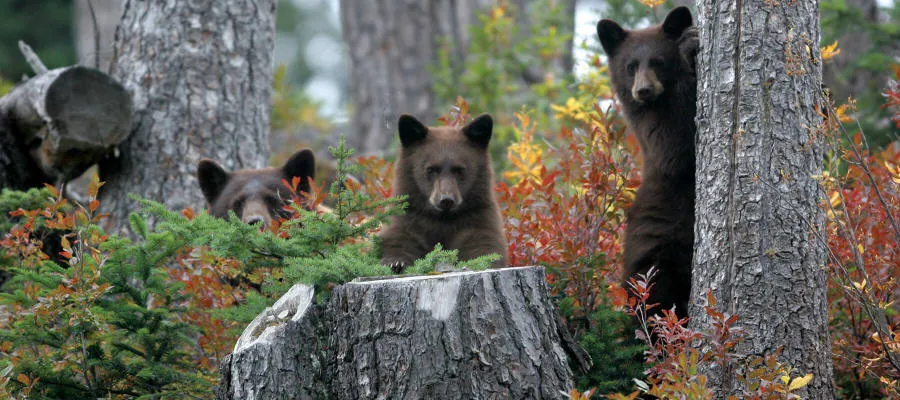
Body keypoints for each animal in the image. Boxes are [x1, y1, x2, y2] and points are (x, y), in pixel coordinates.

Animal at [379, 113, 508, 272]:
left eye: (459, 170)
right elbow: (400, 237)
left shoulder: (479, 217)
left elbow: (484, 245)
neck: (442, 219)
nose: (446, 199)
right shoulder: (409, 215)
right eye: (431, 169)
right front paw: (395, 262)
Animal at [596, 6, 699, 320]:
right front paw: (688, 48)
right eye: (630, 66)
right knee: (653, 298)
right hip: (653, 248)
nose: (642, 90)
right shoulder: (649, 127)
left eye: (657, 61)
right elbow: (675, 148)